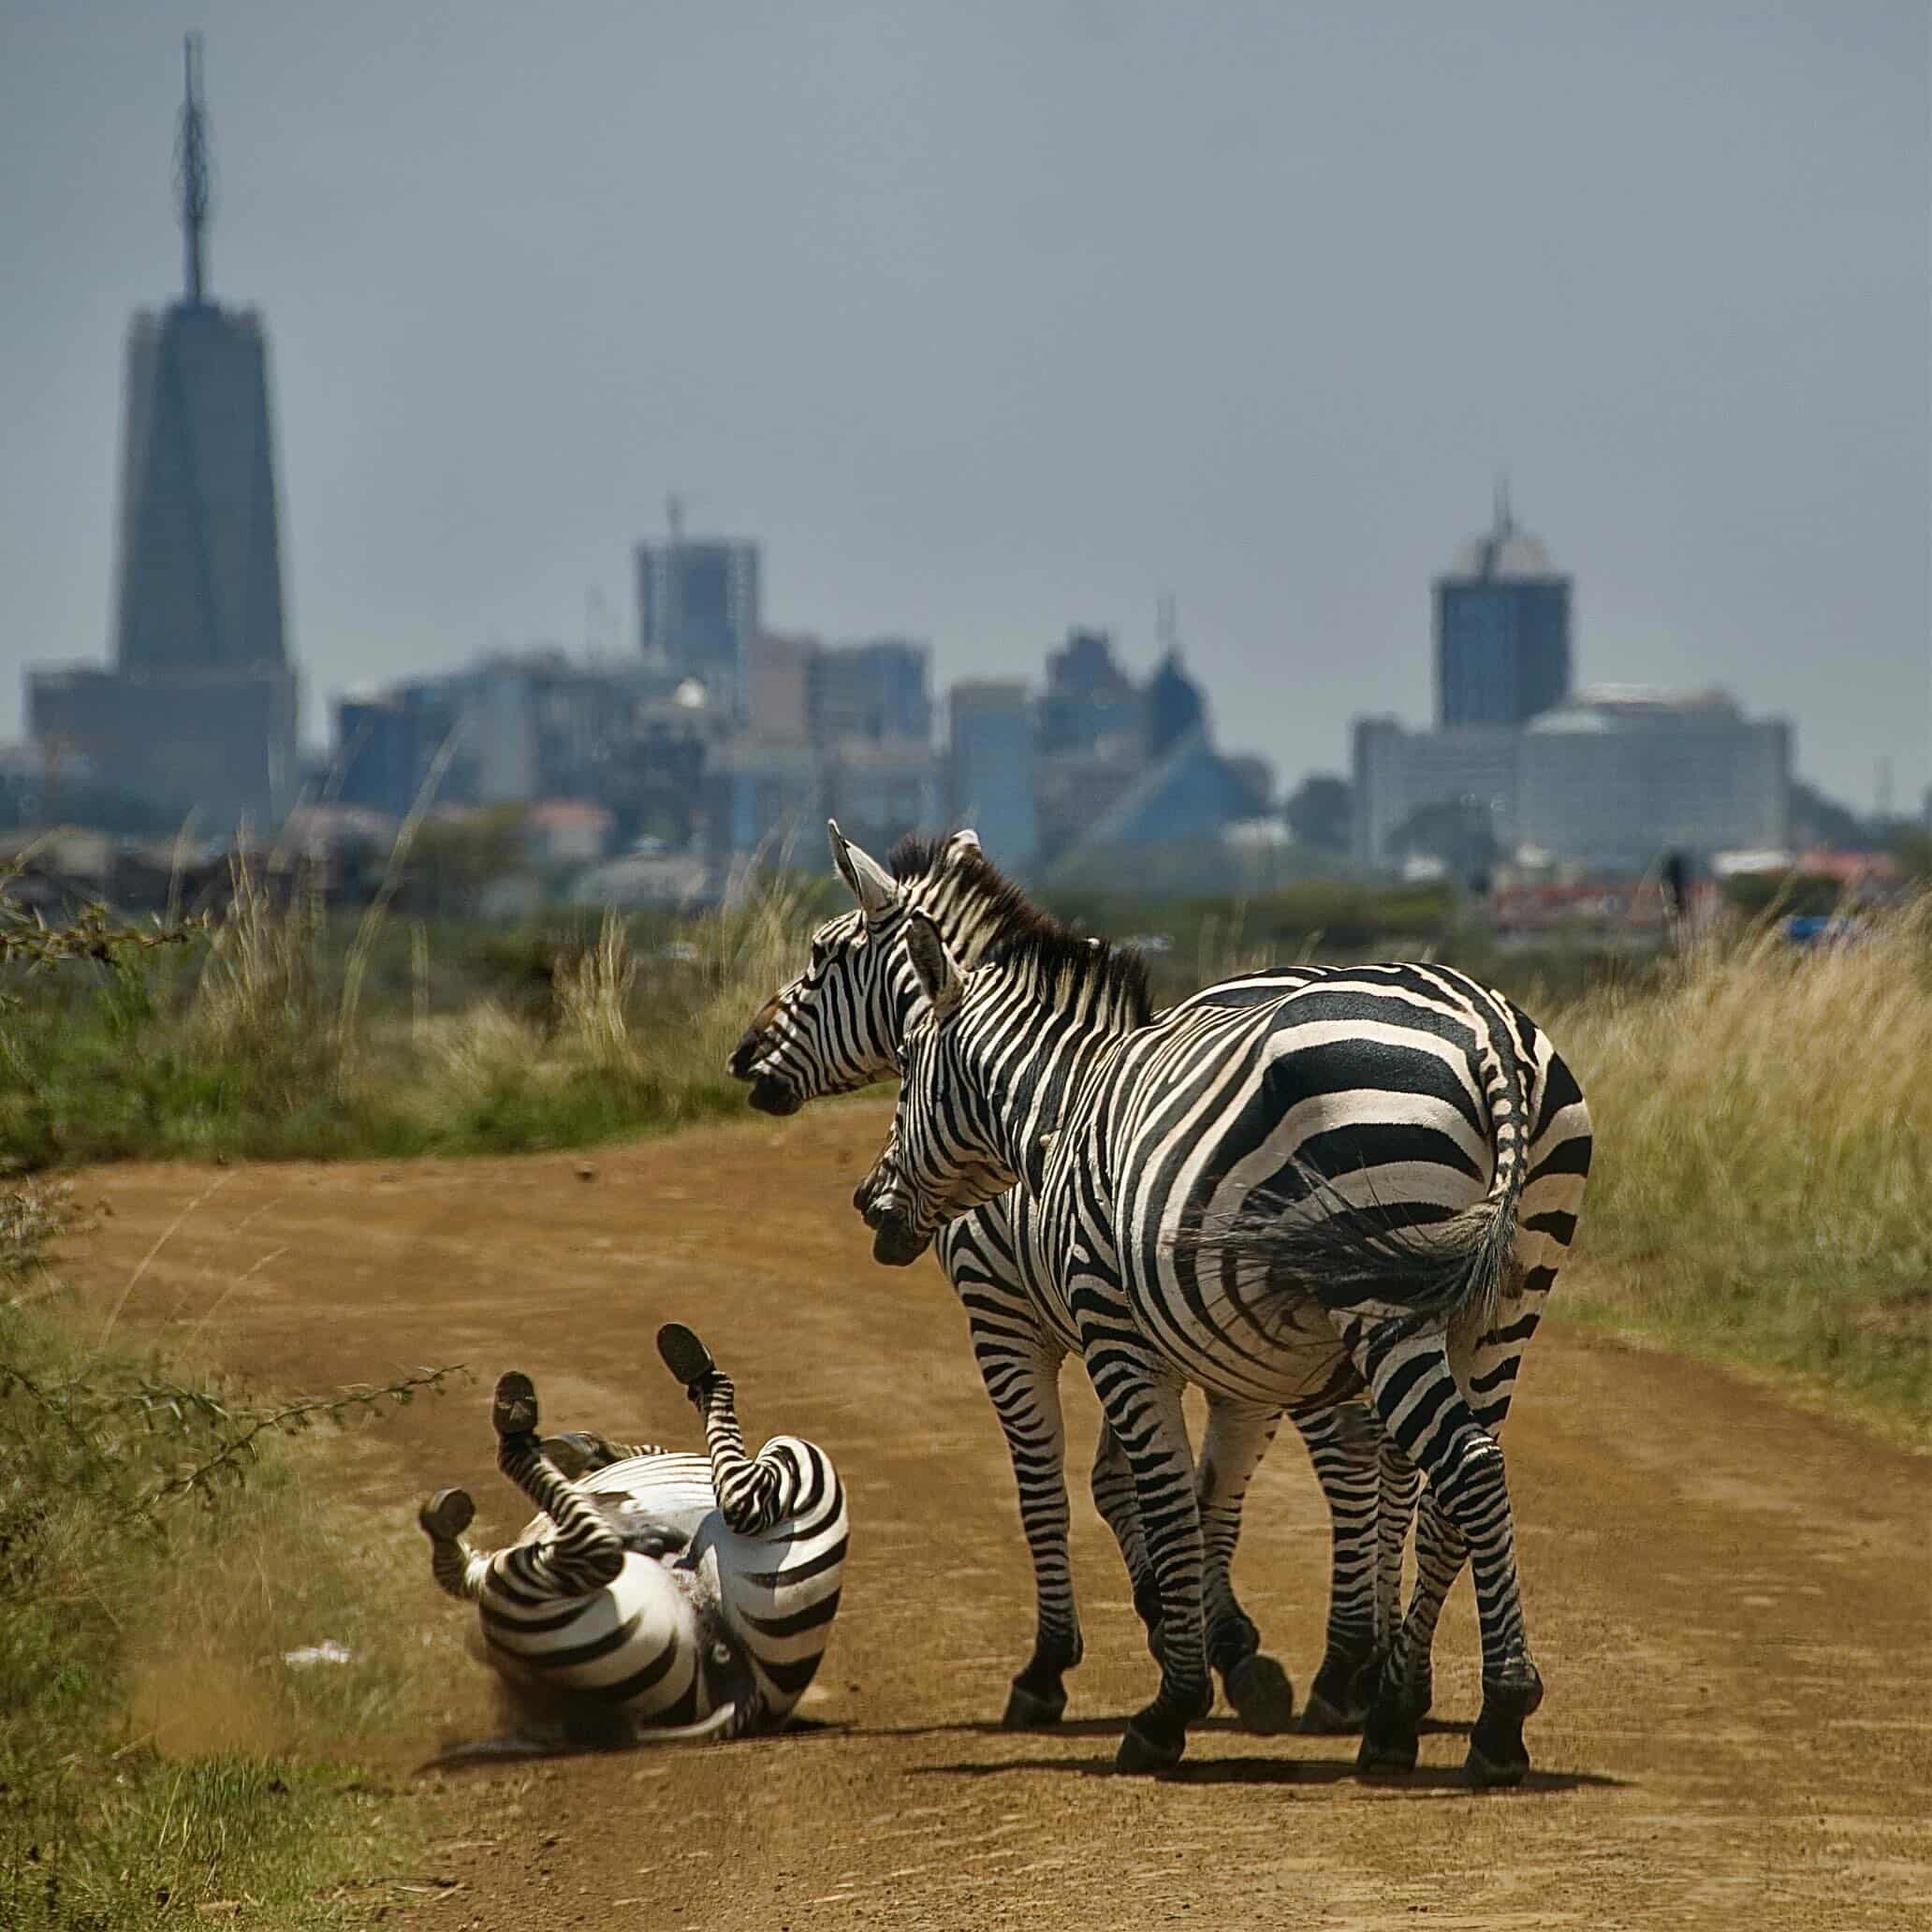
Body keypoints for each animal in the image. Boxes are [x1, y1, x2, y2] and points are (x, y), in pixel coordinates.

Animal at [730, 823, 1409, 1733]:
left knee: (1352, 1454)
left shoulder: (1007, 1320)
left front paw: (1058, 1663)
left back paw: (1353, 1667)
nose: (742, 1060)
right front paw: (1198, 1627)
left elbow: (1052, 1488)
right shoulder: (1129, 1333)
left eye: (819, 953)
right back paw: (1377, 1663)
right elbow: (1136, 1484)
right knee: (1384, 1454)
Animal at [861, 911, 1591, 1781]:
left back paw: (1498, 1715)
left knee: (1467, 1464)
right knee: (1455, 1487)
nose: (867, 1205)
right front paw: (1219, 1652)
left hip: (1384, 1291)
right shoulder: (1219, 1355)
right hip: (1507, 1303)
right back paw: (1397, 1717)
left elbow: (1167, 1502)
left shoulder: (1111, 1332)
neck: (1066, 1110)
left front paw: (1168, 1707)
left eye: (907, 1066)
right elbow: (1205, 1499)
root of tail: (1491, 1031)